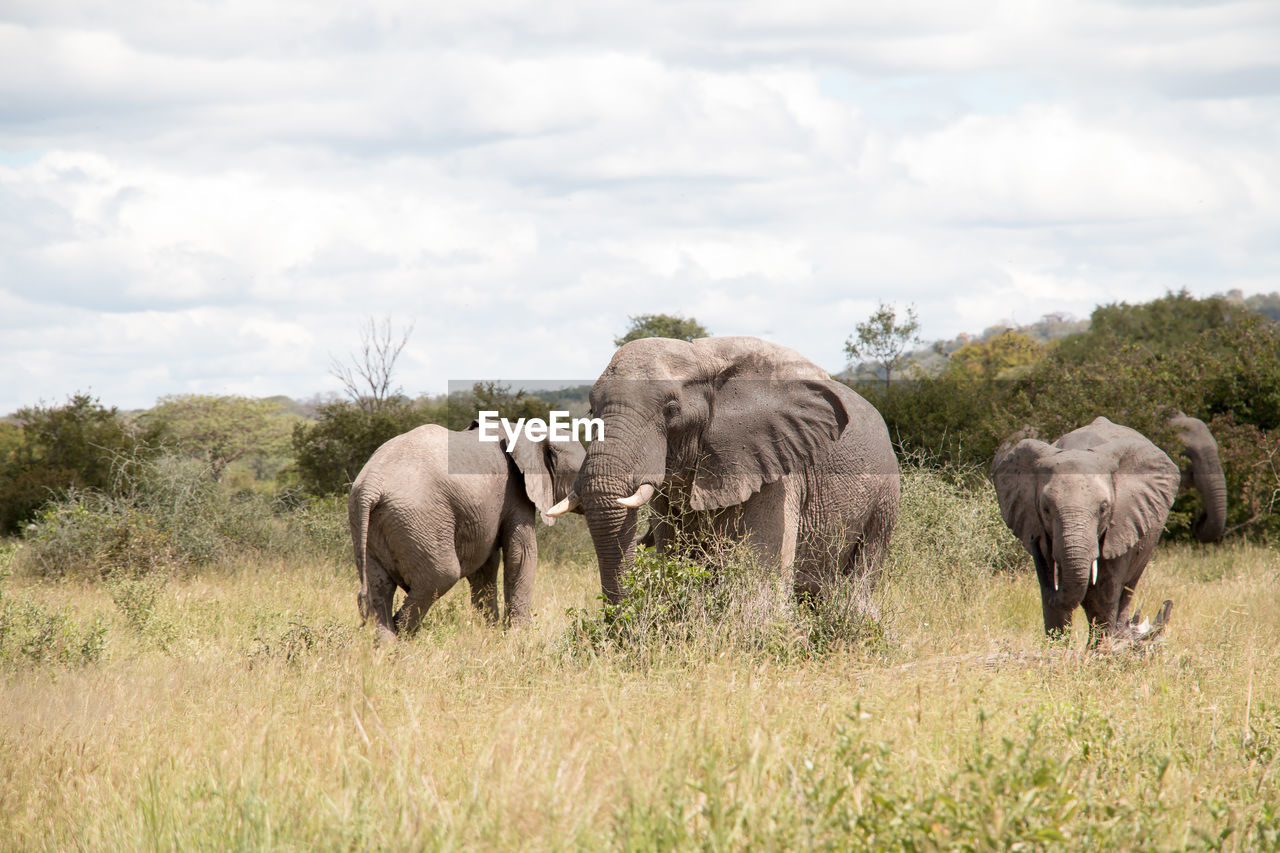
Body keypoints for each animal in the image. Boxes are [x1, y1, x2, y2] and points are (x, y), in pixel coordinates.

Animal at [348, 420, 583, 637]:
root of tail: (371, 485)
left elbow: (485, 565)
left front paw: (490, 633)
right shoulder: (516, 492)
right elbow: (521, 555)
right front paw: (518, 636)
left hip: (367, 523)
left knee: (380, 587)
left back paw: (387, 644)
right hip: (418, 519)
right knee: (441, 575)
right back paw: (401, 635)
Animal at [542, 335, 901, 607]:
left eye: (671, 410)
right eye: (591, 410)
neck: (700, 357)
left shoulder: (774, 468)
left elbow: (760, 570)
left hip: (885, 496)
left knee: (864, 570)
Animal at [988, 412, 1177, 645]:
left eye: (1104, 508)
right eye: (1045, 509)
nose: (1032, 538)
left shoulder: (1122, 522)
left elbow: (1104, 594)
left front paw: (1099, 651)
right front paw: (1058, 650)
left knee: (1127, 589)